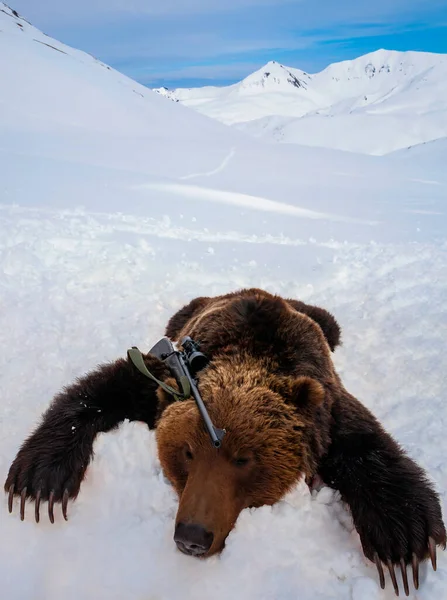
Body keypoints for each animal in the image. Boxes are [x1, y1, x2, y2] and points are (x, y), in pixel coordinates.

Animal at [4, 290, 447, 596]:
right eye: (186, 452)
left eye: (244, 459)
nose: (192, 537)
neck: (250, 354)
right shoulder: (160, 385)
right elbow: (98, 390)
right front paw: (40, 481)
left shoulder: (326, 408)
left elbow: (369, 447)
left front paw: (403, 546)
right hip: (185, 311)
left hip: (321, 323)